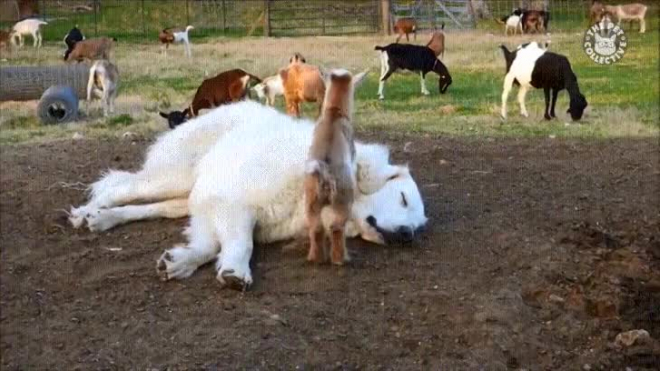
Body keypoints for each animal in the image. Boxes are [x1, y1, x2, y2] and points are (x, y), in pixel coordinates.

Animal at [68, 101, 428, 290]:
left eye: (419, 225)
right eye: (403, 199)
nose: (408, 235)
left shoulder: (214, 204)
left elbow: (209, 246)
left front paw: (182, 260)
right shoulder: (232, 202)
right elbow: (241, 244)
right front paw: (235, 271)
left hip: (186, 194)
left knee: (149, 207)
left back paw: (104, 219)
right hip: (173, 178)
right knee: (118, 187)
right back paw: (87, 212)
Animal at [302, 68, 366, 266]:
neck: (334, 112)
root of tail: (324, 169)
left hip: (311, 200)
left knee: (316, 228)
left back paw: (314, 258)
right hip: (343, 200)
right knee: (337, 228)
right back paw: (341, 259)